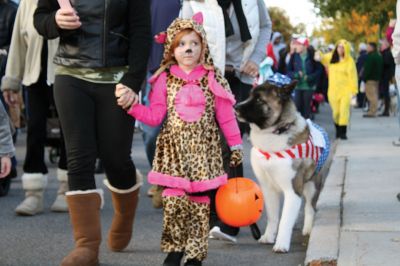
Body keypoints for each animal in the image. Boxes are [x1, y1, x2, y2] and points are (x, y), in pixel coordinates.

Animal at [234, 78, 328, 252]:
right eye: (250, 95)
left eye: (259, 100)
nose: (236, 106)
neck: (277, 131)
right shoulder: (268, 188)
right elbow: (273, 216)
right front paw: (268, 237)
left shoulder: (293, 189)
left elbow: (285, 219)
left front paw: (281, 244)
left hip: (312, 183)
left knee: (309, 206)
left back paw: (308, 228)